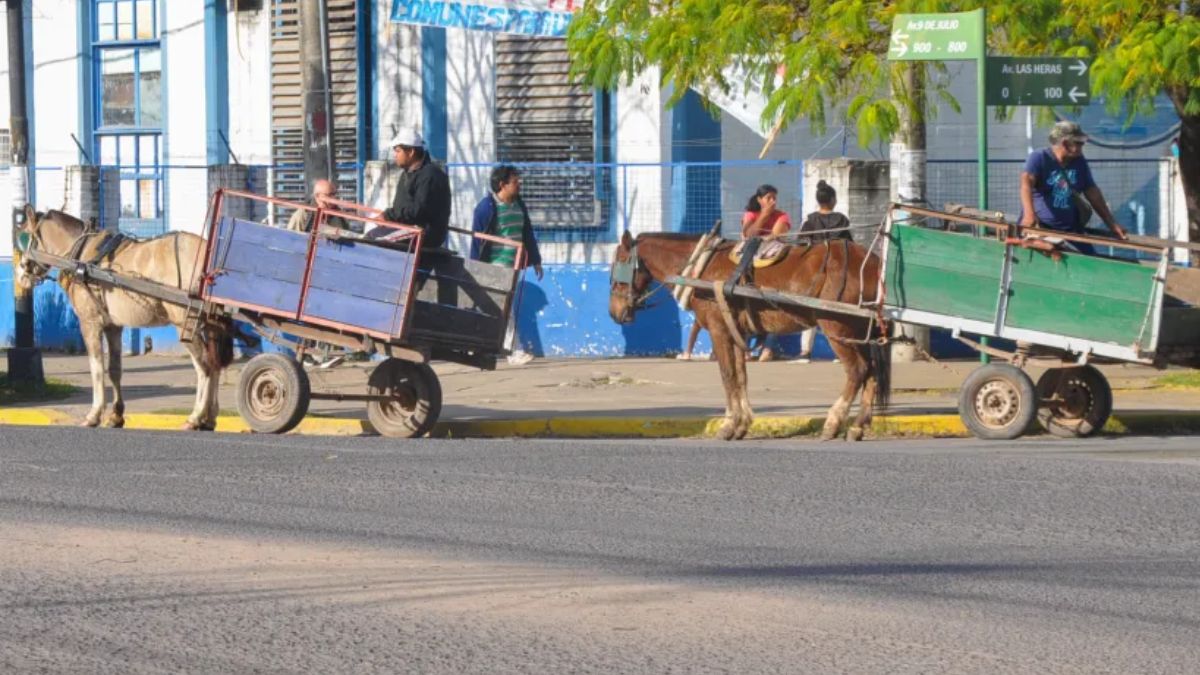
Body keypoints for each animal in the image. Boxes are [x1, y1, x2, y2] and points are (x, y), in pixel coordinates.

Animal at [14, 205, 234, 427]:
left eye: (23, 237)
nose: (21, 276)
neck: (80, 254)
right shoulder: (113, 326)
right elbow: (114, 369)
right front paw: (116, 415)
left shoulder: (89, 323)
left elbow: (96, 367)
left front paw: (94, 414)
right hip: (210, 324)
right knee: (214, 362)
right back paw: (210, 418)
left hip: (185, 324)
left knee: (204, 365)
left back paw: (196, 416)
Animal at [614, 229, 888, 441]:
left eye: (618, 266)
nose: (614, 313)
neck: (701, 267)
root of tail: (872, 262)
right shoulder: (737, 332)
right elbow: (740, 376)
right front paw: (741, 424)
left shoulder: (719, 330)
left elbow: (727, 376)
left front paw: (727, 425)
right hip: (858, 331)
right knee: (872, 371)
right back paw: (857, 427)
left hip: (836, 328)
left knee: (857, 370)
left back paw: (833, 422)